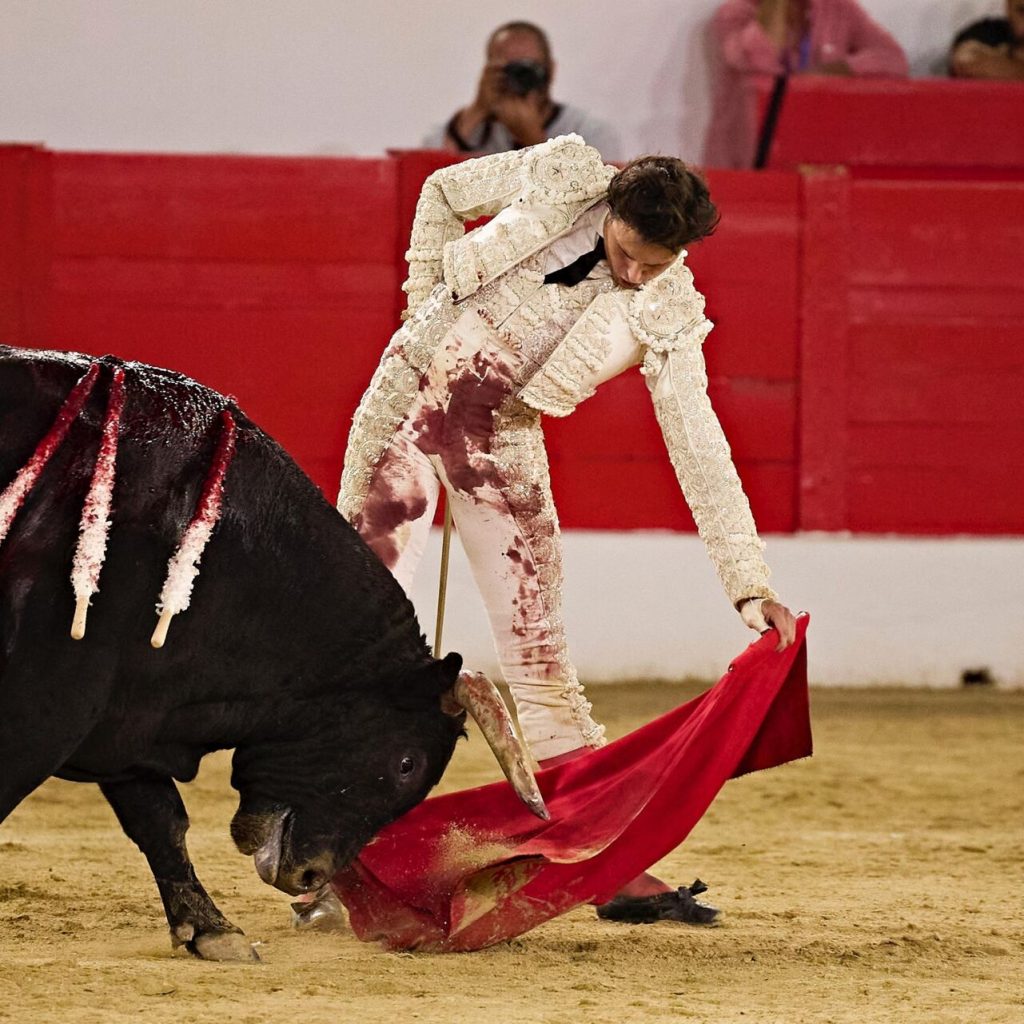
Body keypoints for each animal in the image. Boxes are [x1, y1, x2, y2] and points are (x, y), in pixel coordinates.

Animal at [0, 350, 544, 958]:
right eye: (407, 764)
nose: (311, 876)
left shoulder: (125, 715)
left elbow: (160, 820)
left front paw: (213, 931)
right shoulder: (47, 706)